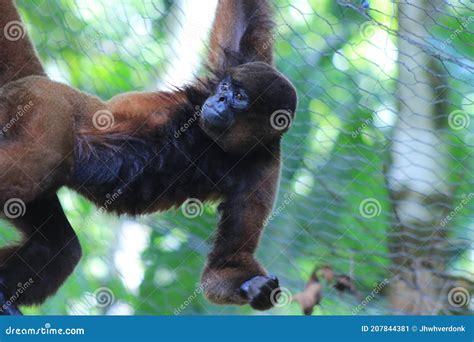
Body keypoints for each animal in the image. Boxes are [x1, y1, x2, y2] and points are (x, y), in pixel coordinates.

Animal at [0, 0, 296, 316]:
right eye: (225, 88)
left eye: (239, 97)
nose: (219, 100)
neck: (218, 144)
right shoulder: (230, 67)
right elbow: (244, 17)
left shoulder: (264, 168)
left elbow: (224, 264)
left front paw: (252, 287)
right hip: (47, 106)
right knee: (35, 164)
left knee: (59, 247)